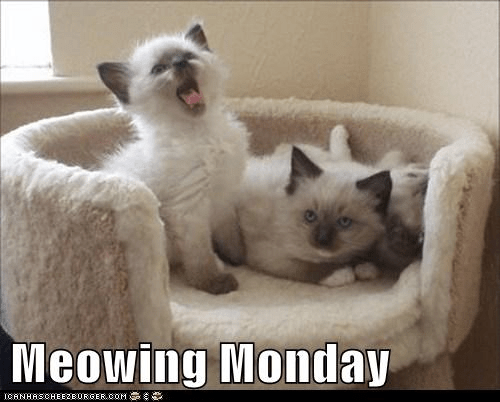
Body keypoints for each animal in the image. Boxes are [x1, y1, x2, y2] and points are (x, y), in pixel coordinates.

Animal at [97, 22, 249, 294]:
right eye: (159, 69)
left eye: (188, 56)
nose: (180, 63)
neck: (202, 134)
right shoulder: (190, 209)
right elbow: (200, 257)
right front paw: (216, 283)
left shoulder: (224, 199)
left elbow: (231, 236)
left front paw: (239, 259)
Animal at [231, 145, 392, 283]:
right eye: (310, 216)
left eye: (344, 222)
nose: (322, 240)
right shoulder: (270, 255)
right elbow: (308, 267)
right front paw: (341, 274)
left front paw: (365, 267)